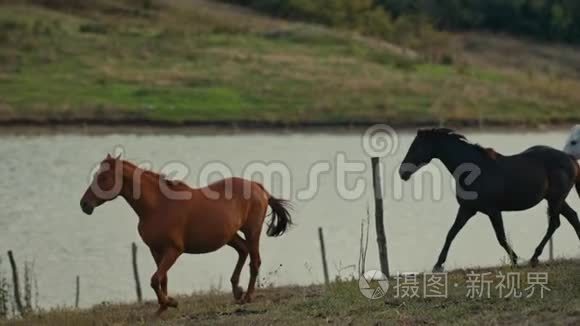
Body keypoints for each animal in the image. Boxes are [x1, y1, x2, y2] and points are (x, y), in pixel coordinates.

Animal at [79, 155, 292, 314]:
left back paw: (246, 297)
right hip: (230, 236)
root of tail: (258, 187)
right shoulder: (156, 251)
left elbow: (154, 279)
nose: (84, 204)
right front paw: (163, 307)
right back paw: (236, 291)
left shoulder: (173, 250)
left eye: (103, 178)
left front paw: (170, 303)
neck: (157, 206)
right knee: (243, 251)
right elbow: (161, 278)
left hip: (252, 232)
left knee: (254, 261)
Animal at [398, 129, 580, 272]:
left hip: (555, 199)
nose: (402, 173)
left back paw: (534, 257)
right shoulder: (467, 209)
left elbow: (501, 237)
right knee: (571, 217)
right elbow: (451, 233)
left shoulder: (493, 210)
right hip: (555, 199)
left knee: (554, 223)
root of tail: (571, 158)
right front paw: (437, 265)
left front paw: (515, 260)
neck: (474, 171)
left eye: (417, 146)